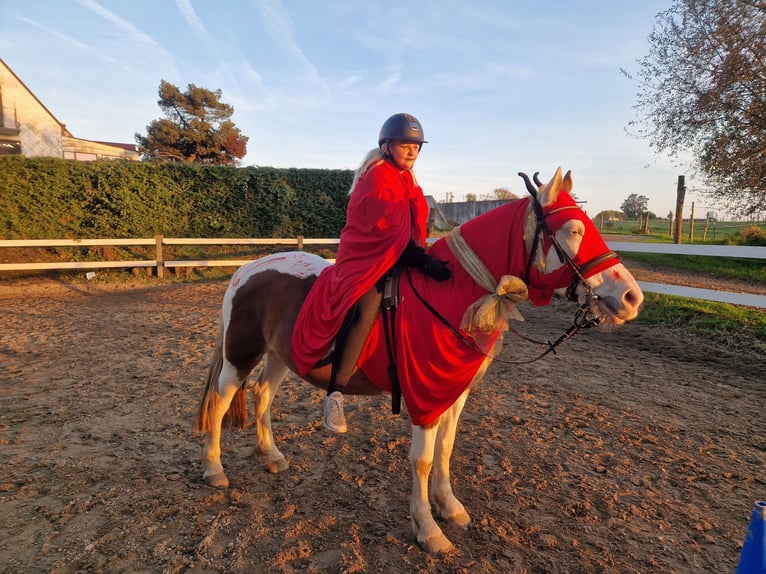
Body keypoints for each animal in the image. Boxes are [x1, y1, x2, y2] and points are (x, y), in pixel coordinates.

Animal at [195, 169, 644, 556]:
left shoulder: (454, 391)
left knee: (262, 394)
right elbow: (424, 459)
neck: (451, 296)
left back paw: (270, 455)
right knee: (221, 400)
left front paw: (450, 508)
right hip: (241, 353)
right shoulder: (425, 394)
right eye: (574, 230)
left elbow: (446, 449)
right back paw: (214, 470)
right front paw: (428, 529)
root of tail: (248, 269)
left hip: (279, 356)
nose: (631, 297)